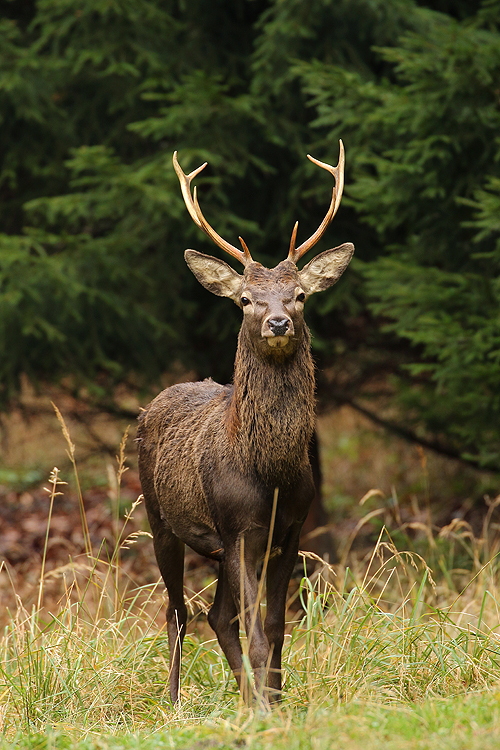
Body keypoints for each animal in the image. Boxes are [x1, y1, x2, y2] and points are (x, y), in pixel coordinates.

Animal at [137, 142, 356, 712]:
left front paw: (274, 702)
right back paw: (174, 702)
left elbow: (275, 627)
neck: (269, 473)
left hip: (215, 546)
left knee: (216, 615)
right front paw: (264, 707)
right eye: (244, 299)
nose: (277, 321)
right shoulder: (238, 528)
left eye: (299, 294)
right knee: (177, 613)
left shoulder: (289, 529)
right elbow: (255, 628)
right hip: (159, 517)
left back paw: (242, 694)